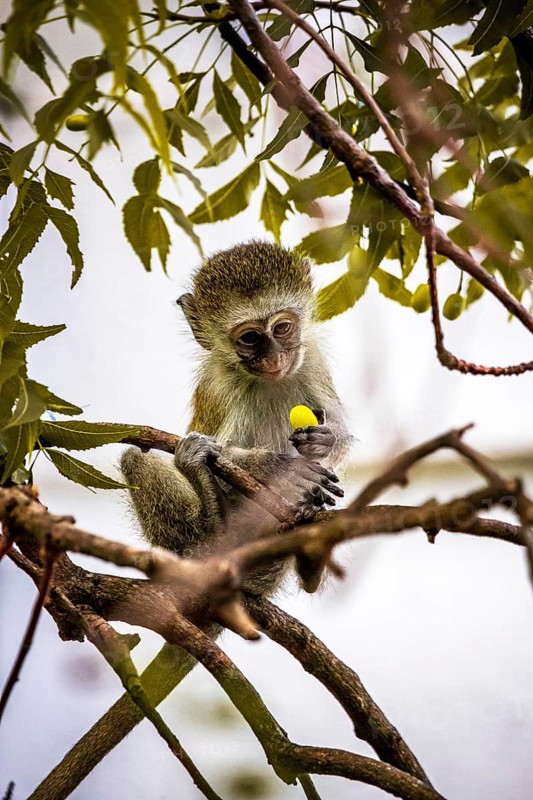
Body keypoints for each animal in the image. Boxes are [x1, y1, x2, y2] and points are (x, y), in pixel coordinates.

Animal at [29, 241, 353, 800]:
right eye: (250, 339)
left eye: (283, 327)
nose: (274, 357)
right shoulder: (224, 389)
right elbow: (221, 455)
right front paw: (275, 468)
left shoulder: (311, 362)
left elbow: (342, 436)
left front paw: (321, 446)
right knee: (143, 461)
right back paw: (209, 528)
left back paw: (308, 559)